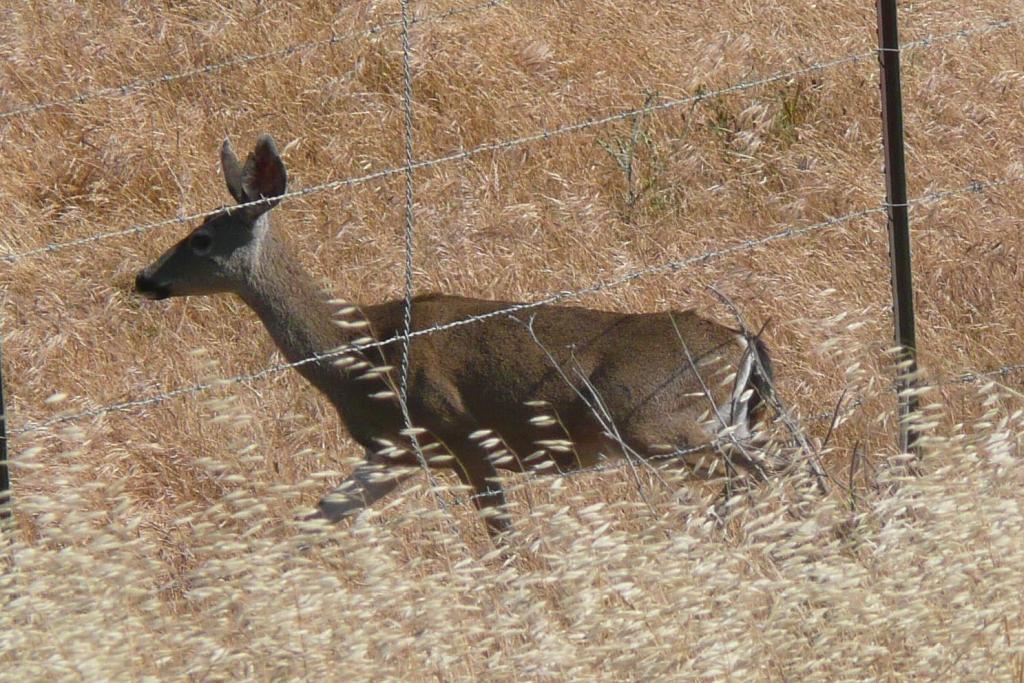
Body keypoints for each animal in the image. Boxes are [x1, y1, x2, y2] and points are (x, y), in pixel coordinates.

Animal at [134, 132, 774, 540]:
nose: (144, 278)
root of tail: (742, 346)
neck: (358, 353)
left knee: (761, 473)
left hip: (657, 421)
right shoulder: (396, 452)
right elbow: (315, 520)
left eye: (200, 239)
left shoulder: (464, 433)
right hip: (713, 424)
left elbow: (504, 541)